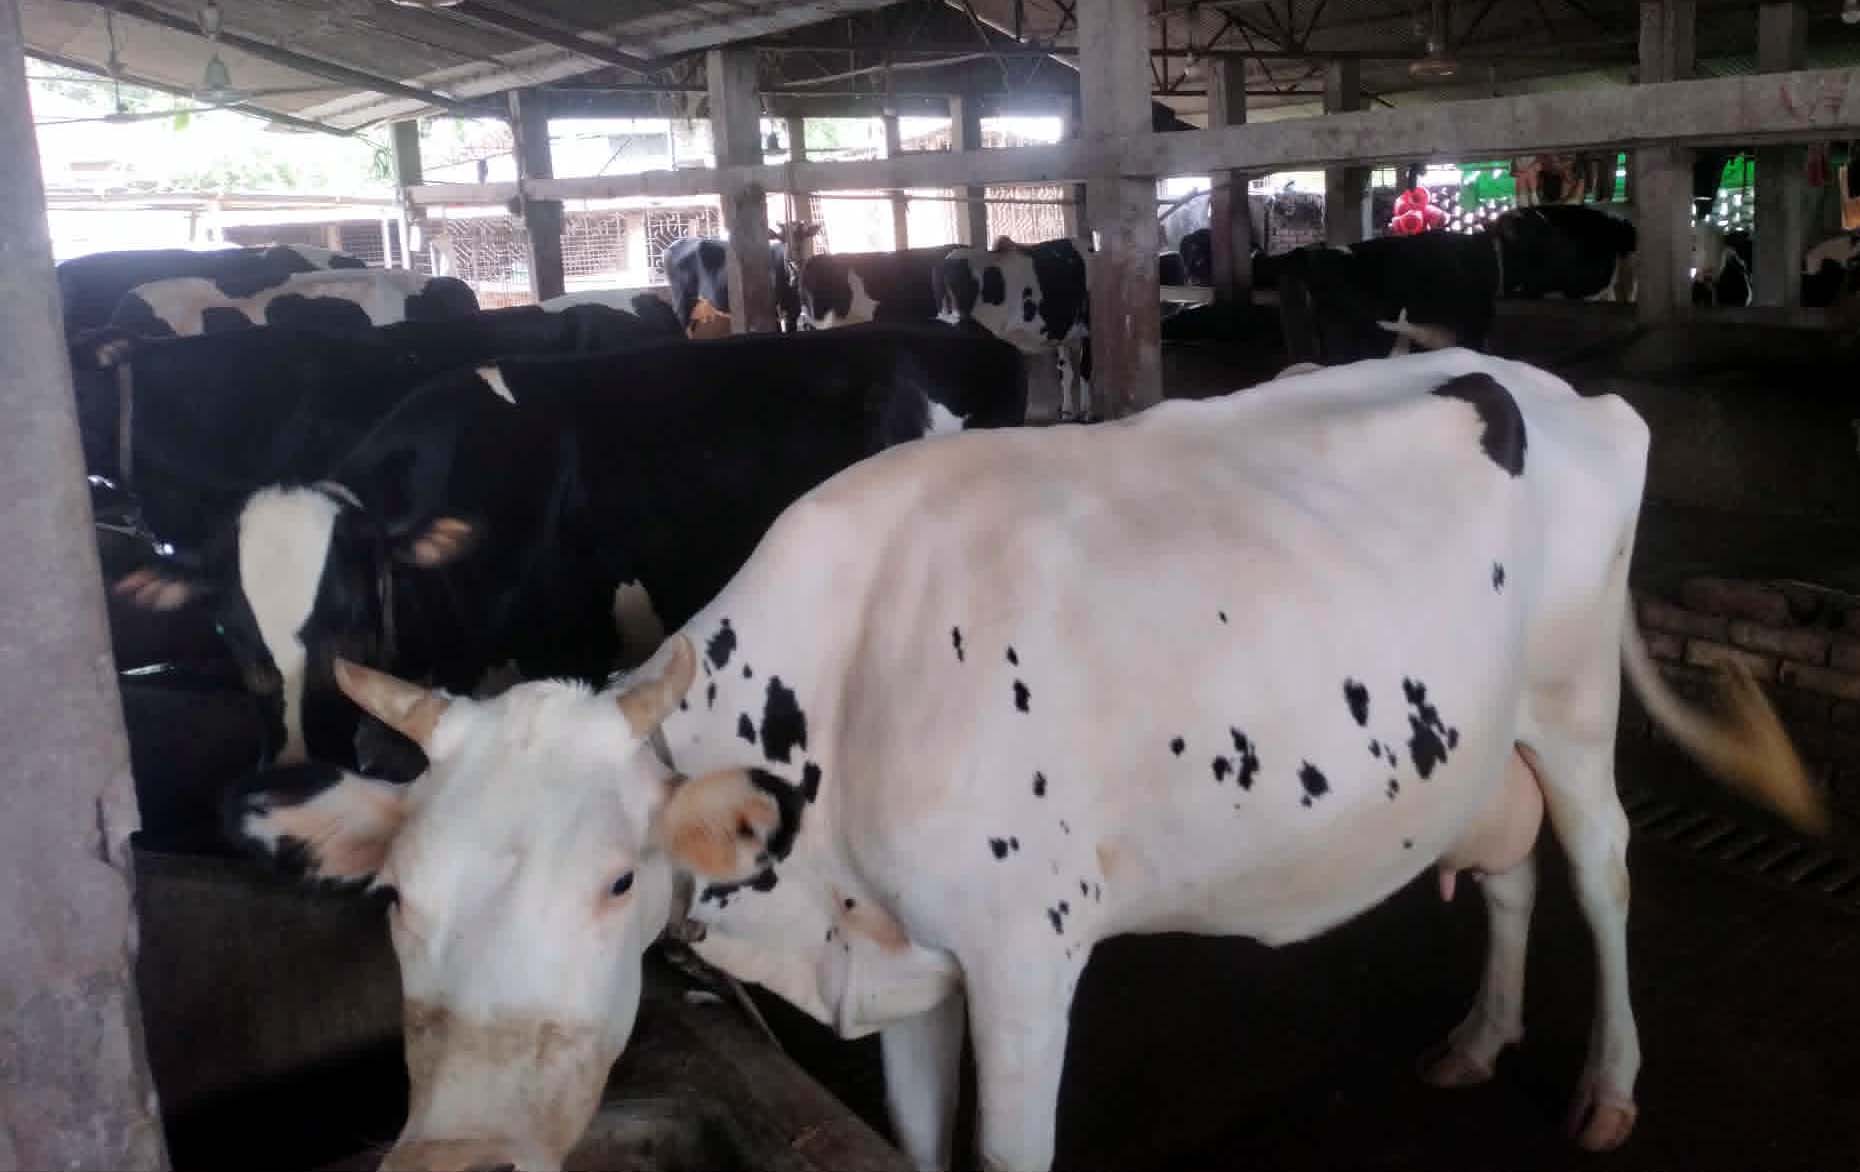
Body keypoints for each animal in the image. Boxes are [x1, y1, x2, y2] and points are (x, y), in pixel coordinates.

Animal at [227, 348, 1823, 1172]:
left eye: (620, 883)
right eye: (399, 901)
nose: (450, 1163)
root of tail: (1543, 379)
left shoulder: (1022, 957)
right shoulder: (907, 961)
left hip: (1571, 700)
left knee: (1604, 869)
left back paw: (1607, 1085)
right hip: (1477, 737)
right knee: (1504, 872)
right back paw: (1481, 1037)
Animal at [936, 238, 1094, 420]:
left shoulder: (1065, 332)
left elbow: (1068, 371)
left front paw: (1069, 412)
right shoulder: (1085, 327)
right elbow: (1083, 368)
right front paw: (1086, 411)